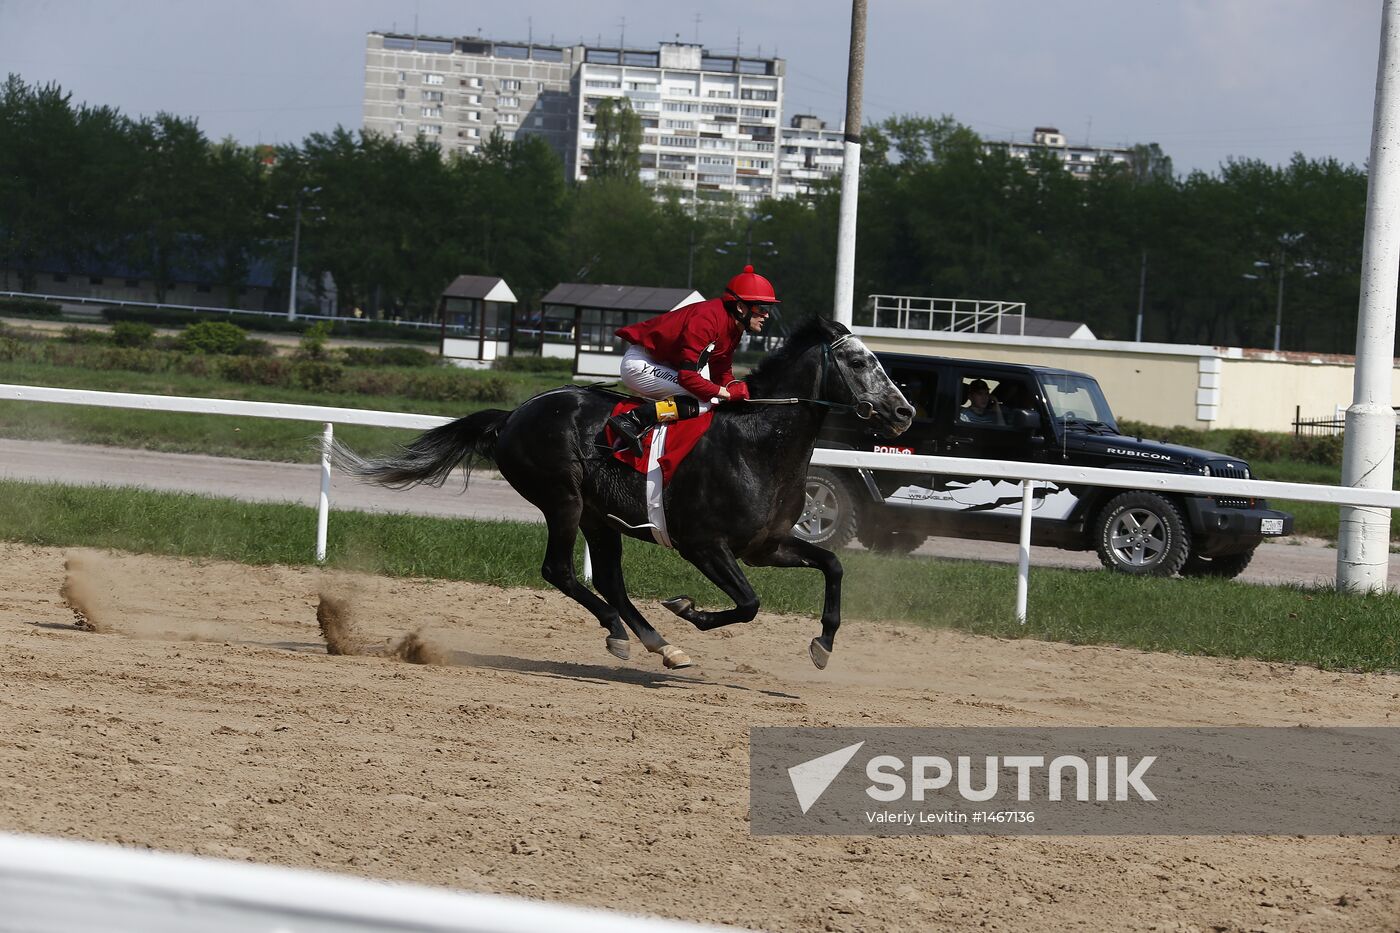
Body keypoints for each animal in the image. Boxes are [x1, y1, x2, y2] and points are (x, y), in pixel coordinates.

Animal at [331, 318, 912, 669]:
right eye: (859, 362)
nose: (904, 412)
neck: (756, 445)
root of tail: (514, 414)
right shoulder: (705, 545)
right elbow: (748, 603)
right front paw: (689, 609)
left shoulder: (764, 546)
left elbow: (832, 565)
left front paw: (823, 644)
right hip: (562, 501)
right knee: (560, 570)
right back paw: (622, 630)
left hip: (599, 515)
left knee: (609, 579)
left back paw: (659, 643)